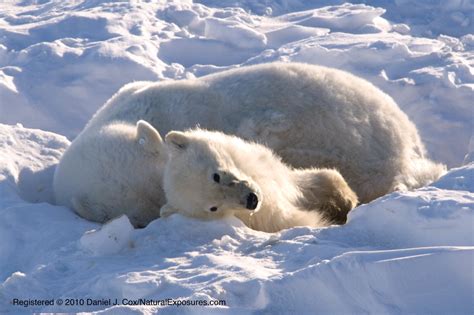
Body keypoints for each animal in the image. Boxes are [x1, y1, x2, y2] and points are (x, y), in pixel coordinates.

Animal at [161, 129, 358, 235]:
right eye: (214, 208)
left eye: (215, 176)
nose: (251, 200)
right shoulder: (271, 218)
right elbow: (301, 220)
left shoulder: (274, 173)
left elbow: (309, 182)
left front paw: (347, 199)